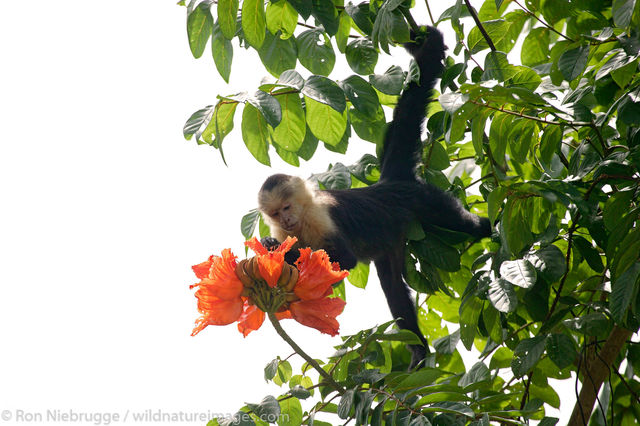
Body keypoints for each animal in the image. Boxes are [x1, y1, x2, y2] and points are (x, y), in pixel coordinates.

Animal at [257, 27, 491, 367]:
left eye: (288, 206)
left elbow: (344, 259)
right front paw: (271, 246)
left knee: (460, 223)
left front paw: (284, 255)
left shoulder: (319, 217)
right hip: (391, 240)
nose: (286, 218)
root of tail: (388, 183)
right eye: (276, 214)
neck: (301, 221)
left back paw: (488, 227)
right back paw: (418, 350)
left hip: (423, 200)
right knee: (393, 287)